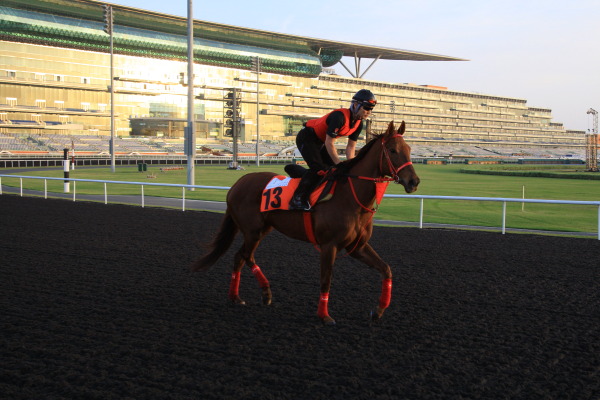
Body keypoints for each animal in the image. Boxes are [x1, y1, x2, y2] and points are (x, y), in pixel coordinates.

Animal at [190, 120, 420, 324]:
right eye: (392, 150)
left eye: (409, 148)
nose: (414, 181)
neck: (350, 196)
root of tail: (237, 184)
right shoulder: (329, 246)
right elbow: (326, 280)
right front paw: (324, 316)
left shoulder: (357, 247)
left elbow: (386, 269)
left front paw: (378, 311)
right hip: (252, 231)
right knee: (246, 256)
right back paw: (265, 292)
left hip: (262, 229)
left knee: (240, 257)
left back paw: (237, 296)